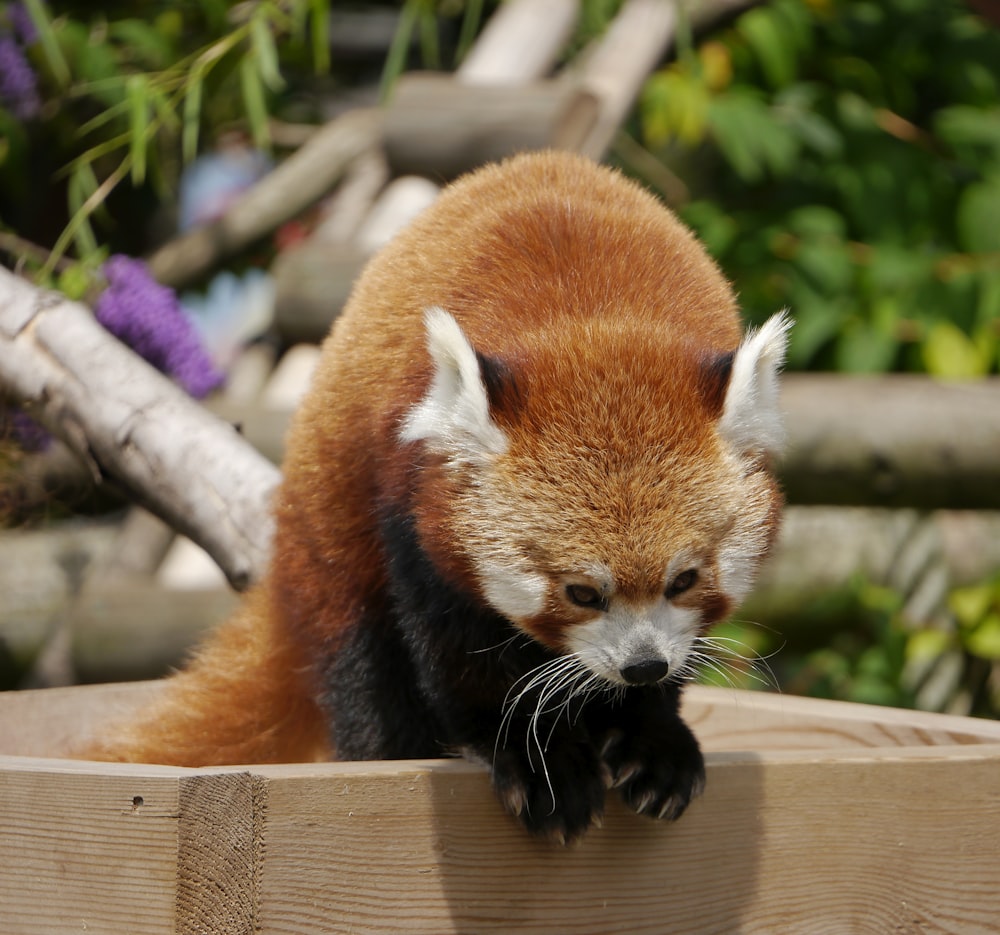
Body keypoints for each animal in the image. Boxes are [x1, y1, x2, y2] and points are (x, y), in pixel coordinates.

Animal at [86, 150, 788, 844]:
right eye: (581, 593)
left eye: (684, 579)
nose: (642, 667)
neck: (591, 318)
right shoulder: (412, 501)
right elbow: (457, 651)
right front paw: (539, 763)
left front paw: (654, 740)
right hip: (333, 526)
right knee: (364, 666)